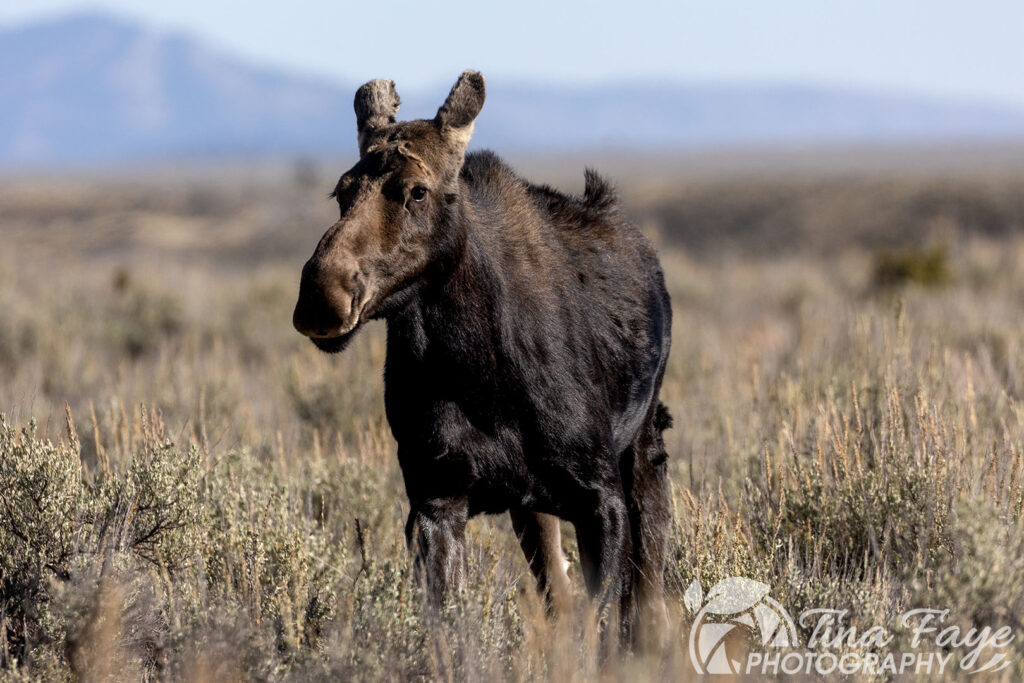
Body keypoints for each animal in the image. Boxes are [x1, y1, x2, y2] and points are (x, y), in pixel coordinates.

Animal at [292, 71, 673, 647]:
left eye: (417, 190)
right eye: (342, 191)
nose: (321, 295)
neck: (479, 371)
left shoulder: (599, 498)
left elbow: (595, 632)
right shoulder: (435, 500)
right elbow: (449, 631)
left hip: (644, 447)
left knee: (647, 594)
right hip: (531, 507)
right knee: (558, 591)